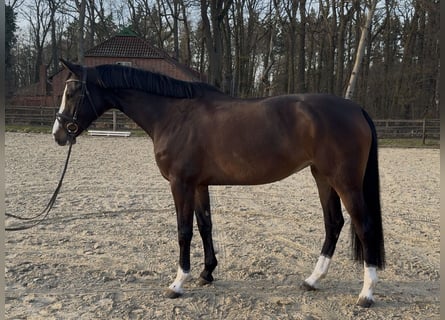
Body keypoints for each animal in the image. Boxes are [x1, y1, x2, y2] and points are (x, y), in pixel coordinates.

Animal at [52, 60, 384, 308]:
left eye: (74, 90)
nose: (59, 134)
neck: (173, 115)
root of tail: (356, 109)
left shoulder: (181, 184)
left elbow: (184, 231)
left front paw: (178, 283)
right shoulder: (199, 185)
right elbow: (205, 225)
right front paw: (206, 273)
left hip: (344, 181)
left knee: (363, 225)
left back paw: (366, 294)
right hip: (322, 176)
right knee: (334, 223)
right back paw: (312, 280)